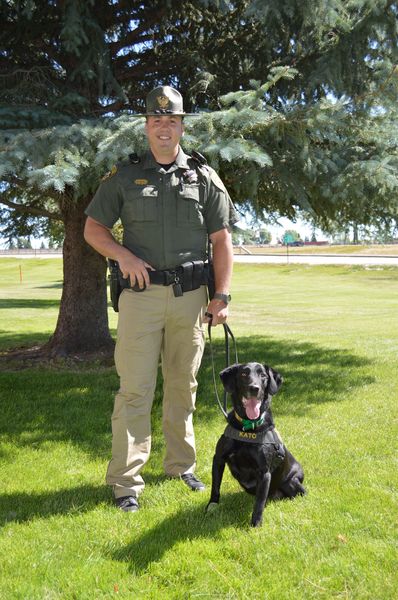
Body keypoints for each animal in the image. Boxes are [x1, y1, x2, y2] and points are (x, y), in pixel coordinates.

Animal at [205, 360, 304, 524]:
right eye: (244, 374)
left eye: (263, 375)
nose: (254, 388)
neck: (248, 427)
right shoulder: (218, 459)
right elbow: (215, 486)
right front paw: (212, 506)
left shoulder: (264, 472)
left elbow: (259, 502)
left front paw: (256, 524)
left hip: (292, 481)